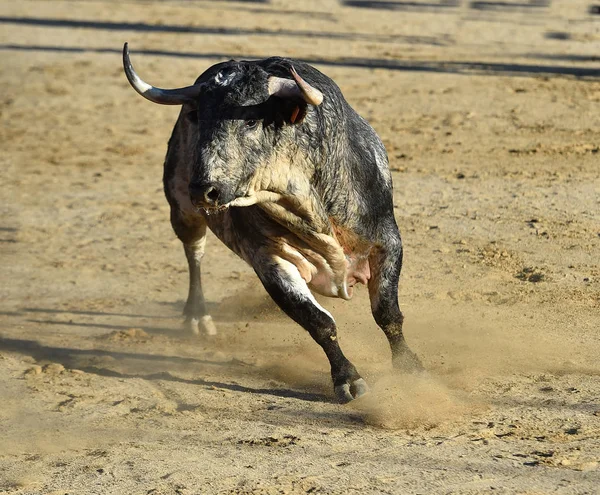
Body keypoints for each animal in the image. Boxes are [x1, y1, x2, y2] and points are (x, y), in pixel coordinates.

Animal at [120, 43, 422, 404]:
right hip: (182, 209)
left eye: (250, 119)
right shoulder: (270, 262)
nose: (204, 190)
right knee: (194, 253)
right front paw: (348, 379)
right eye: (199, 119)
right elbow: (319, 322)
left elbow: (387, 313)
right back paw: (197, 318)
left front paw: (409, 366)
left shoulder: (387, 242)